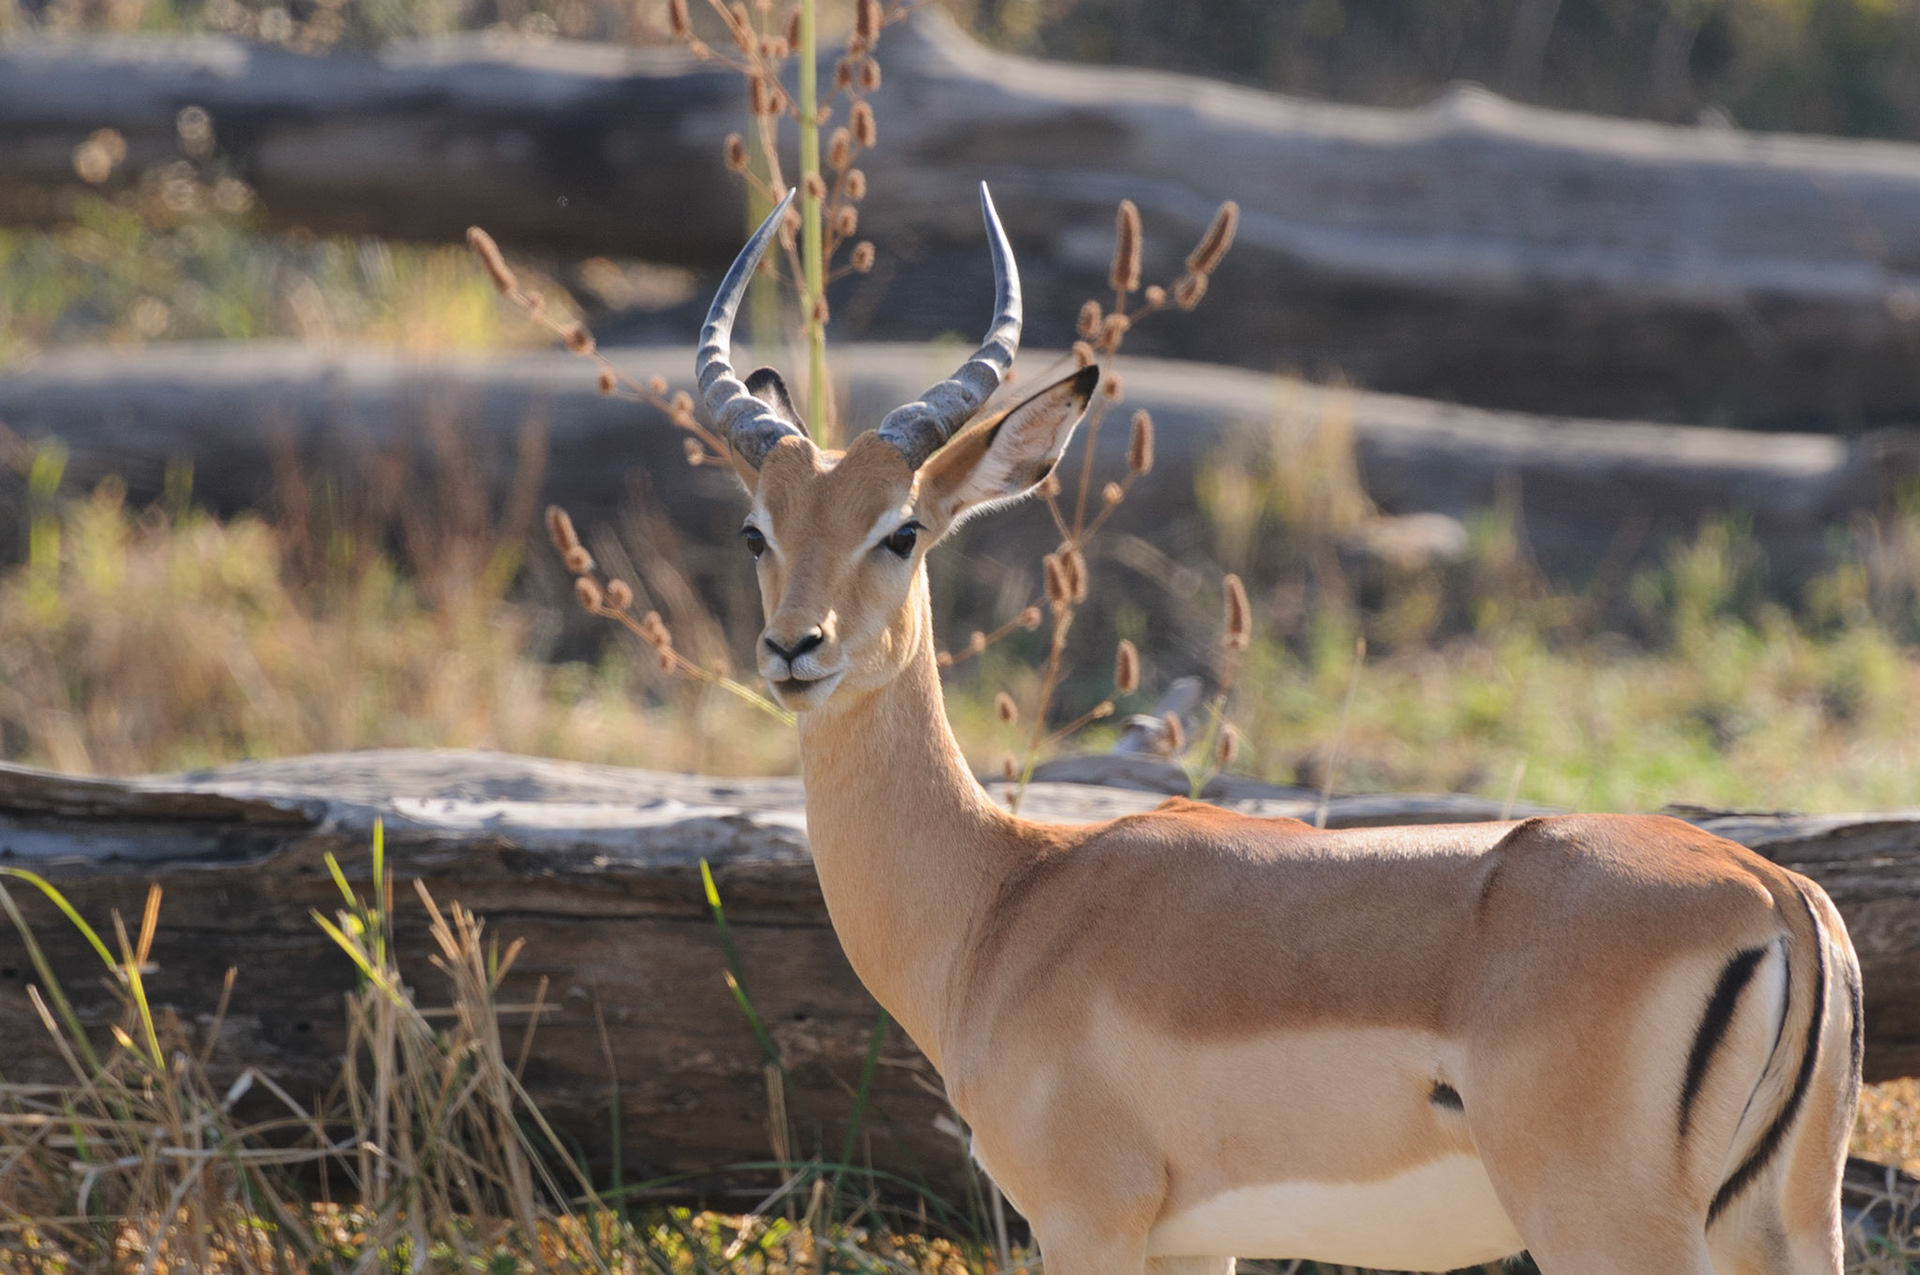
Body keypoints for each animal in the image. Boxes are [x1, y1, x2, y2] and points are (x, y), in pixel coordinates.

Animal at [692, 185, 1863, 1274]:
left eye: (902, 531)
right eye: (756, 530)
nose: (795, 649)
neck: (1005, 900)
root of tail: (1779, 894)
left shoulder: (1087, 1220)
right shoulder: (1192, 1240)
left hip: (1610, 1229)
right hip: (1787, 1226)